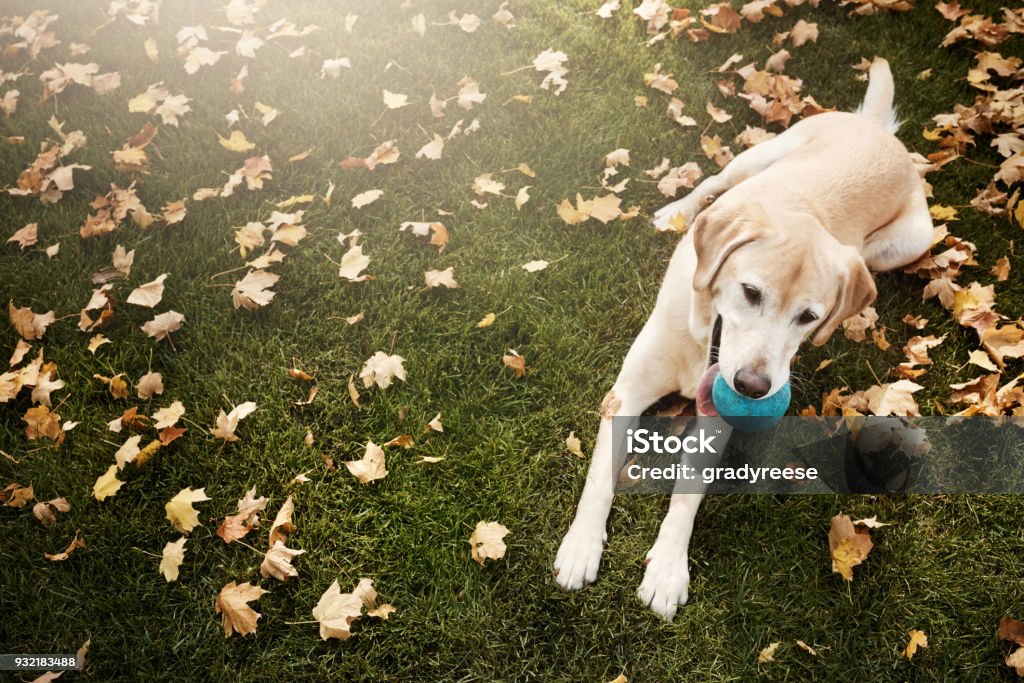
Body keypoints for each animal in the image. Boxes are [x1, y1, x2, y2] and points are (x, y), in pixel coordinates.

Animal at [557, 58, 933, 622]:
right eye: (750, 292)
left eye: (808, 317)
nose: (753, 387)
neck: (698, 342)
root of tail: (877, 131)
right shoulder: (626, 393)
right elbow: (600, 478)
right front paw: (581, 547)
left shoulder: (715, 421)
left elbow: (687, 493)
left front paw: (667, 568)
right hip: (761, 154)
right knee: (714, 181)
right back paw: (677, 210)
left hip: (908, 241)